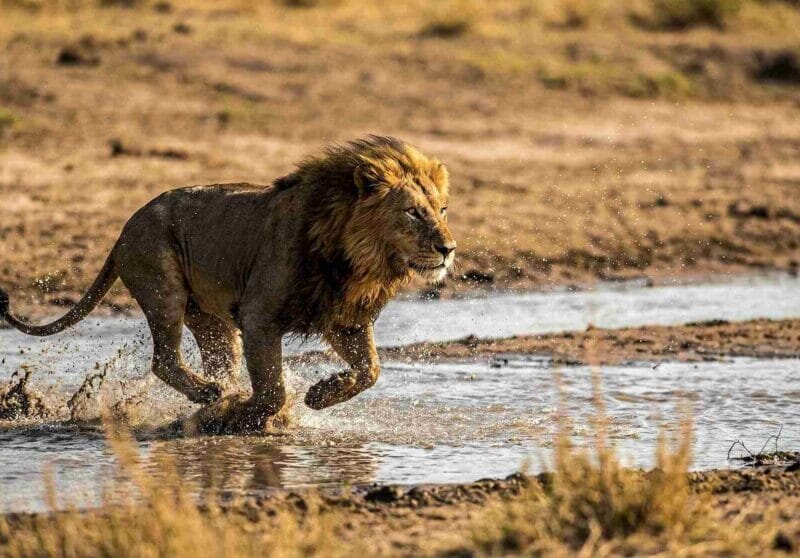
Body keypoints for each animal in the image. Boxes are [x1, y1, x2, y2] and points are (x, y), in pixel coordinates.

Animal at [0, 136, 456, 433]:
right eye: (414, 212)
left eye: (443, 209)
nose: (448, 248)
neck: (355, 262)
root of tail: (122, 231)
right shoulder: (259, 317)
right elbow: (272, 390)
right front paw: (248, 414)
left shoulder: (346, 321)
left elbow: (370, 371)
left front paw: (318, 396)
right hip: (163, 288)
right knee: (164, 359)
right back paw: (210, 395)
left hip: (210, 320)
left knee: (212, 359)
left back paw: (217, 397)